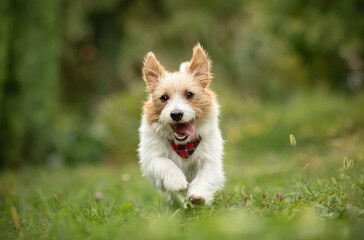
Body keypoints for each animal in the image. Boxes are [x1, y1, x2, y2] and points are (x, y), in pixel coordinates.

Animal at [138, 43, 225, 206]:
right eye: (164, 97)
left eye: (189, 94)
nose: (176, 114)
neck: (184, 146)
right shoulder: (151, 157)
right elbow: (164, 162)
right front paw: (176, 180)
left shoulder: (209, 159)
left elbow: (205, 175)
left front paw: (198, 195)